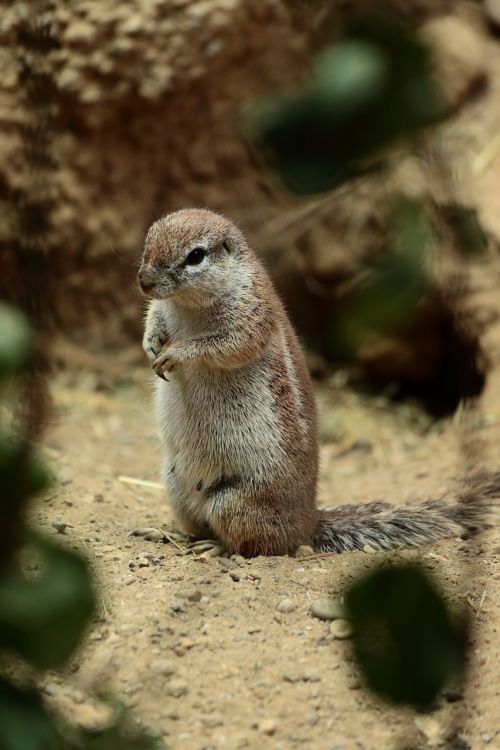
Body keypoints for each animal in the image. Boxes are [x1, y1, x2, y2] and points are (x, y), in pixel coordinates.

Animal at [138, 207, 500, 560]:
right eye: (148, 239)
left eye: (196, 256)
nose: (144, 282)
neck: (187, 304)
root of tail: (308, 523)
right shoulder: (163, 307)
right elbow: (154, 317)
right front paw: (151, 344)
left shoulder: (251, 316)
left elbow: (224, 346)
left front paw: (177, 353)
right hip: (174, 485)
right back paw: (170, 534)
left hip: (234, 503)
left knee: (255, 545)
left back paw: (214, 547)